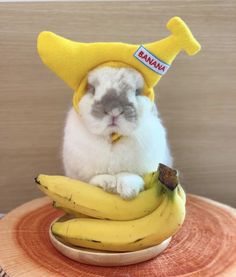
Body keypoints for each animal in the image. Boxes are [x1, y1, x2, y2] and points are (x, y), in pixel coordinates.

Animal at [62, 66, 173, 197]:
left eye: (137, 92)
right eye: (92, 89)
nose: (114, 110)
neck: (112, 137)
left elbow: (128, 175)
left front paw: (128, 190)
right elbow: (96, 177)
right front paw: (107, 183)